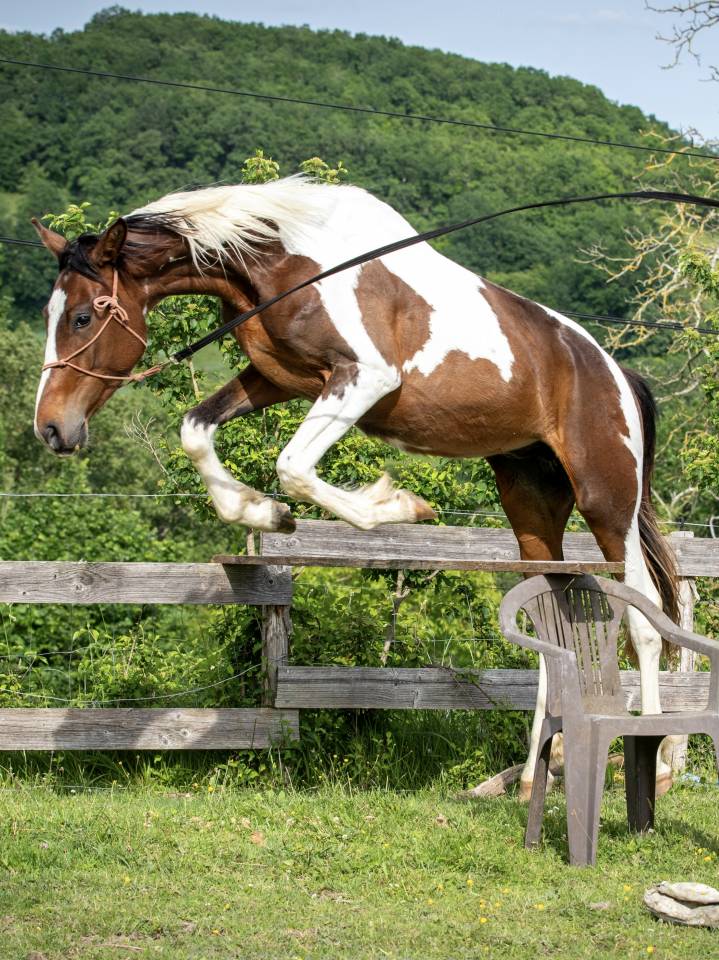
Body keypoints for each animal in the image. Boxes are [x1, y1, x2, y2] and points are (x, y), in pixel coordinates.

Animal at [31, 176, 679, 796]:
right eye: (48, 315)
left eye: (83, 317)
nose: (51, 429)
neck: (284, 263)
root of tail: (615, 373)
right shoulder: (277, 378)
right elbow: (196, 430)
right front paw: (262, 513)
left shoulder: (363, 379)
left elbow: (294, 466)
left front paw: (400, 505)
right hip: (531, 509)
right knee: (557, 628)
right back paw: (533, 774)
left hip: (607, 503)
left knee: (647, 622)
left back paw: (660, 764)